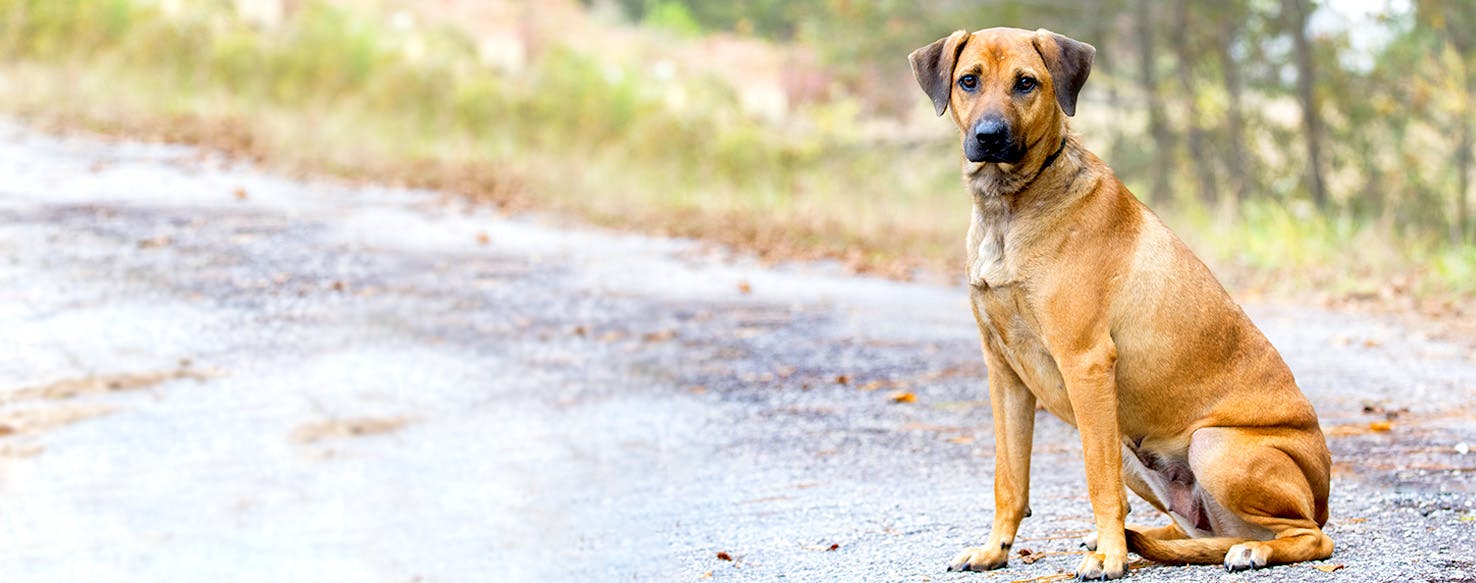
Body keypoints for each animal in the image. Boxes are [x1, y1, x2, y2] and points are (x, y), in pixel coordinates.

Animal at [909, 26, 1340, 578]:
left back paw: (1249, 550)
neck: (1010, 207)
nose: (989, 136)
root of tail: (1321, 498)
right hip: (1138, 453)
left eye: (1026, 83)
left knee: (1309, 537)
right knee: (1193, 531)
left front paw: (1110, 559)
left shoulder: (1086, 363)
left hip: (1214, 446)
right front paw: (994, 550)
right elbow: (1010, 479)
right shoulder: (1004, 371)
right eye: (969, 80)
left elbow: (1098, 481)